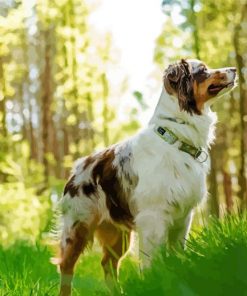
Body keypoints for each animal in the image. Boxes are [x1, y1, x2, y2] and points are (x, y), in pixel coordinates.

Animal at [56, 59, 237, 294]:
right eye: (203, 70)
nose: (234, 69)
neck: (176, 138)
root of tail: (77, 169)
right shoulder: (153, 217)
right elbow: (152, 261)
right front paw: (154, 283)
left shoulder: (183, 217)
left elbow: (177, 254)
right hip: (78, 227)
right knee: (66, 267)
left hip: (118, 233)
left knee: (108, 264)